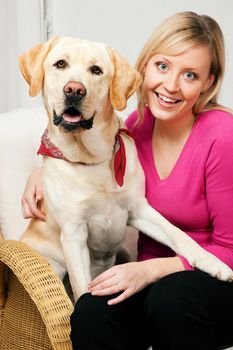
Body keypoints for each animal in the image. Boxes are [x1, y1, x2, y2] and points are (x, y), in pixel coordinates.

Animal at [19, 37, 232, 302]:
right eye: (60, 64)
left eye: (96, 70)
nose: (74, 90)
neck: (93, 159)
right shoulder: (73, 233)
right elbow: (82, 287)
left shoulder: (138, 209)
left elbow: (176, 233)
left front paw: (212, 261)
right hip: (54, 264)